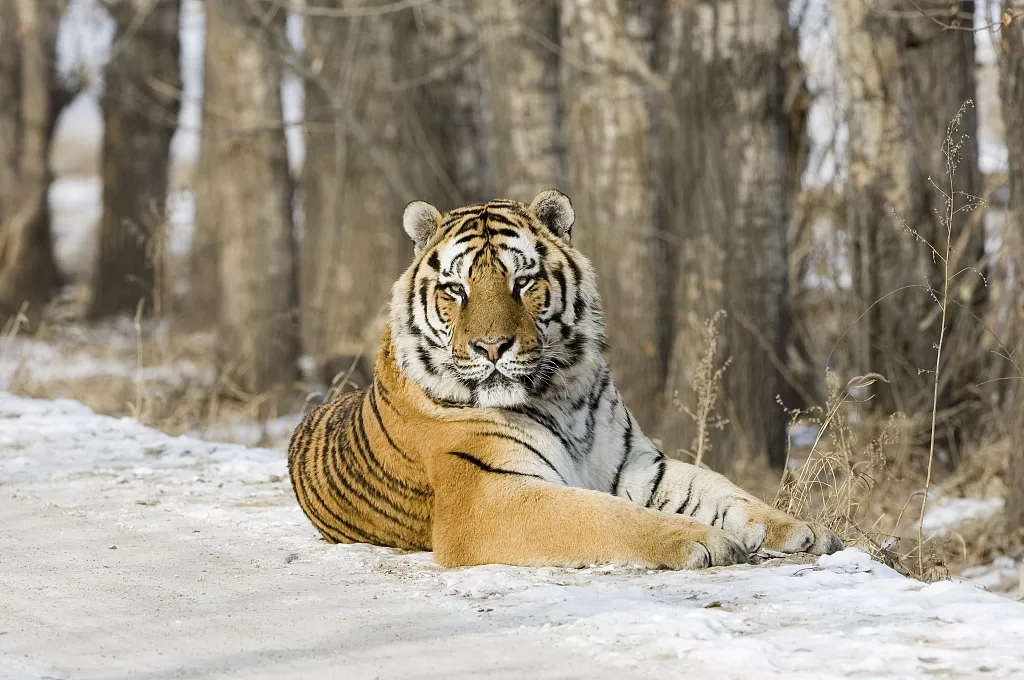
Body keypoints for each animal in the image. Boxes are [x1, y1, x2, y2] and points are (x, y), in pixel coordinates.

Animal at [286, 191, 839, 569]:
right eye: (455, 289)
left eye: (523, 281)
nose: (491, 347)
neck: (559, 395)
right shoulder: (488, 496)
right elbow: (604, 515)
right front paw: (704, 540)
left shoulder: (638, 465)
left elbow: (724, 490)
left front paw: (802, 530)